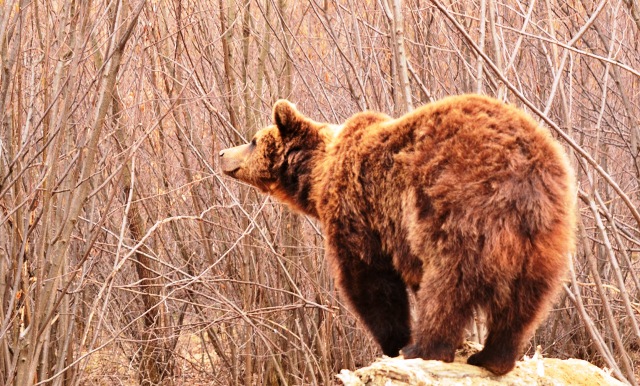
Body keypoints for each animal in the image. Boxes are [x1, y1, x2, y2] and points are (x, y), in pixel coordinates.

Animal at [219, 95, 576, 376]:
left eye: (252, 139)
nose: (222, 153)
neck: (318, 179)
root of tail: (525, 171)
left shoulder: (360, 210)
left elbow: (368, 279)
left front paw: (394, 342)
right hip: (545, 233)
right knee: (526, 299)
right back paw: (493, 357)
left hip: (458, 206)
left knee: (448, 284)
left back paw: (425, 349)